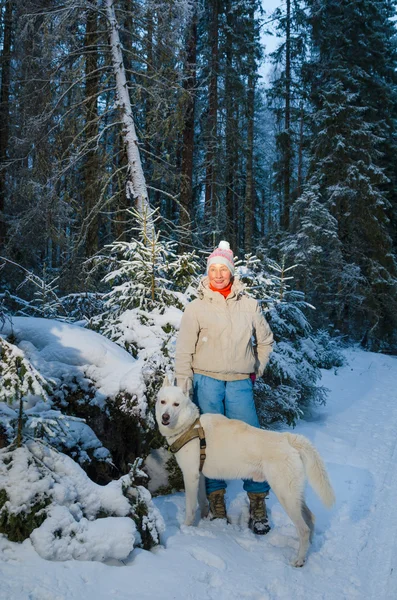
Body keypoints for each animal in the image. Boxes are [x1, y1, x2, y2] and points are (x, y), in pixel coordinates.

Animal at [155, 380, 334, 568]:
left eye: (176, 404)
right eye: (163, 402)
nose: (165, 417)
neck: (189, 426)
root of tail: (287, 438)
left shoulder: (190, 476)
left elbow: (190, 507)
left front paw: (186, 529)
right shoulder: (200, 476)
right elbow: (202, 500)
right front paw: (204, 519)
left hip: (286, 495)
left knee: (304, 529)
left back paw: (299, 559)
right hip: (295, 495)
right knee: (311, 518)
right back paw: (308, 550)